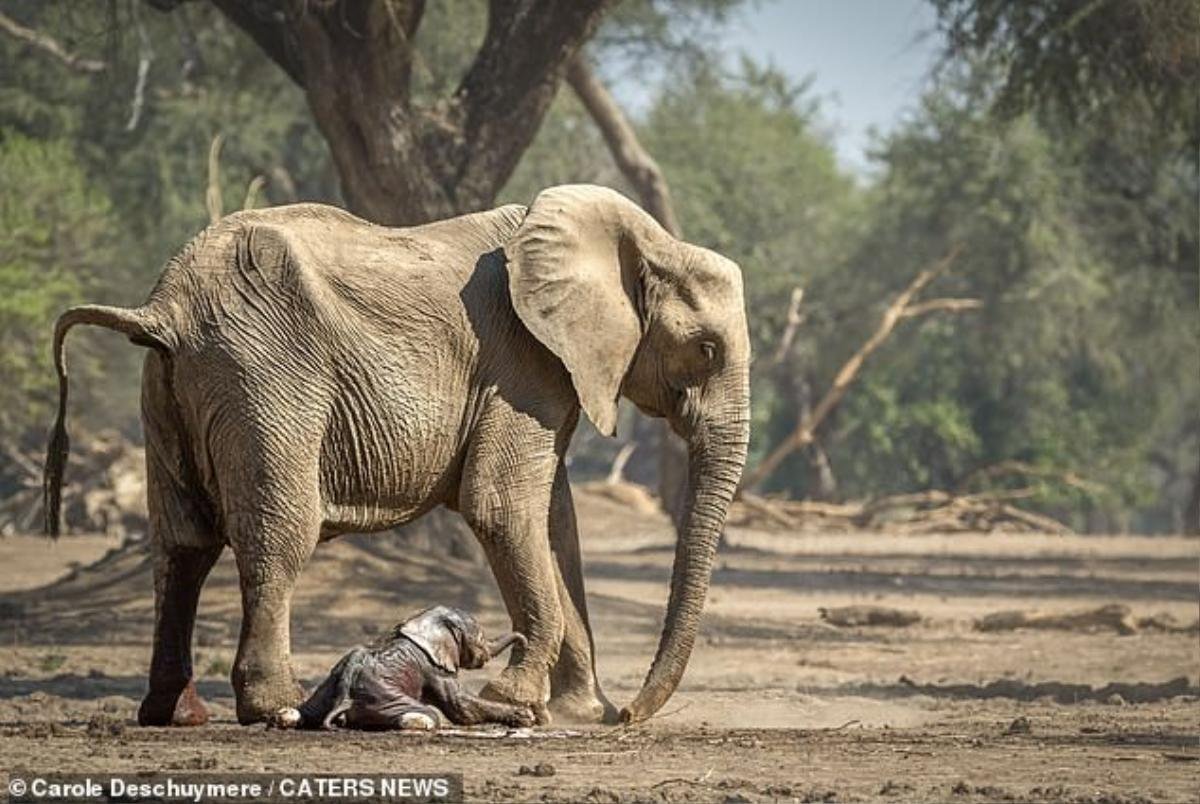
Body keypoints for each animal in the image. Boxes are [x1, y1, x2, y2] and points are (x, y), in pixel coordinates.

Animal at [274, 607, 537, 734]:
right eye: (481, 639)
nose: (525, 643)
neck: (423, 620)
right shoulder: (434, 668)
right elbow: (462, 708)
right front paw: (526, 716)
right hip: (382, 696)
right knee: (425, 716)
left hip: (328, 686)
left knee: (298, 711)